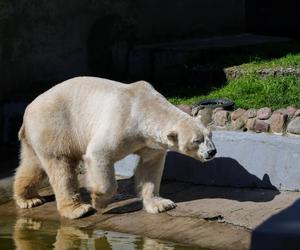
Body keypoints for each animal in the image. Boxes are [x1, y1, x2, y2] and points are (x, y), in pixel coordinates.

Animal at [13, 76, 216, 219]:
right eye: (196, 140)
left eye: (210, 135)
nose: (212, 152)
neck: (144, 107)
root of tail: (28, 109)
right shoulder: (121, 121)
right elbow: (98, 155)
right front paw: (99, 201)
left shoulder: (149, 142)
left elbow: (150, 167)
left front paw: (161, 204)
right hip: (55, 125)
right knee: (60, 166)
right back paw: (78, 209)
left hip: (39, 135)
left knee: (33, 165)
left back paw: (29, 199)